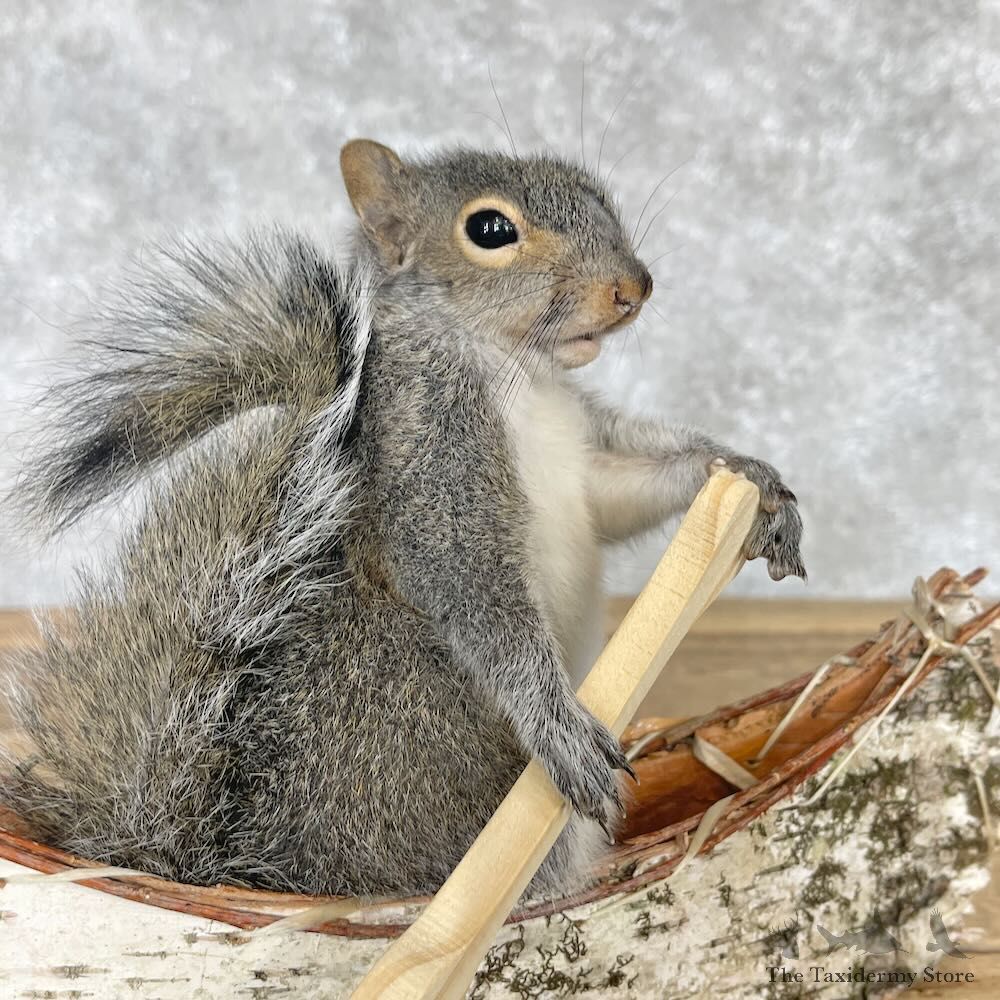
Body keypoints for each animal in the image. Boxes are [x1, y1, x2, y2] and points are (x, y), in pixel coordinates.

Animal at [0, 139, 805, 899]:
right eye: (490, 229)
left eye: (594, 192)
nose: (631, 288)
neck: (515, 372)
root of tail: (245, 861)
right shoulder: (430, 470)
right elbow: (476, 591)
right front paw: (558, 723)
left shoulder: (585, 458)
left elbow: (626, 489)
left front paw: (752, 481)